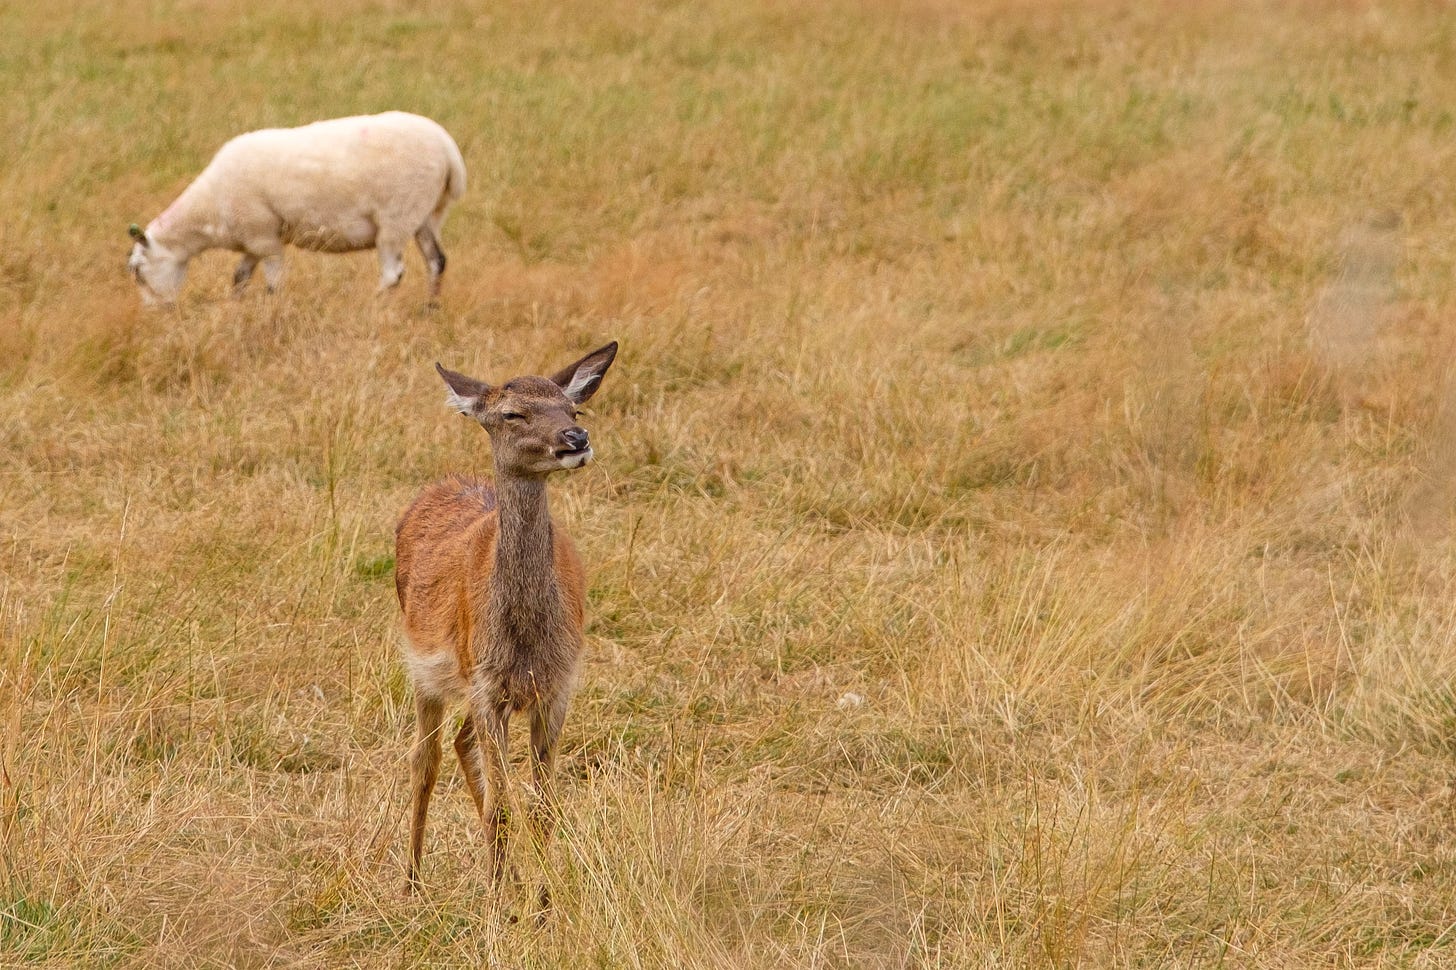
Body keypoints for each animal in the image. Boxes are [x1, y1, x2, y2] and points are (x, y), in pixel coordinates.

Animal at [126, 111, 466, 305]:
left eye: (138, 272)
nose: (154, 312)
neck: (208, 210)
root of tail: (449, 149)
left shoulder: (264, 237)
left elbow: (273, 284)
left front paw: (271, 312)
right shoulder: (254, 239)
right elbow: (239, 277)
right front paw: (235, 307)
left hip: (397, 217)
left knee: (393, 273)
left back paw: (374, 305)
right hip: (426, 214)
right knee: (437, 261)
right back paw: (430, 309)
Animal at [393, 340, 618, 898]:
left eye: (573, 409)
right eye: (513, 414)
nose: (576, 438)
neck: (524, 638)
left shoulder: (556, 686)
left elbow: (543, 808)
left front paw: (544, 897)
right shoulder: (486, 685)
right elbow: (501, 806)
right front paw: (500, 902)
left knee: (458, 745)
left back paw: (508, 876)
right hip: (427, 669)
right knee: (423, 759)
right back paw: (412, 881)